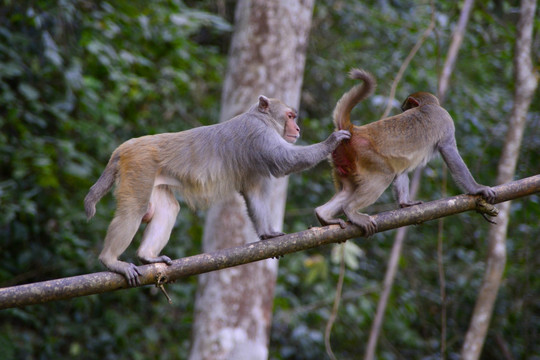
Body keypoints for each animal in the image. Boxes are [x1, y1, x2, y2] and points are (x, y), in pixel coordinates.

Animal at [85, 95, 350, 286]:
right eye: (290, 116)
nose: (297, 129)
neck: (261, 118)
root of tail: (124, 147)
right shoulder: (260, 135)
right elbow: (285, 161)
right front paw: (331, 141)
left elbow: (254, 194)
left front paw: (268, 235)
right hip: (140, 166)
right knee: (134, 210)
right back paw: (111, 260)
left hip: (153, 176)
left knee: (168, 207)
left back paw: (148, 255)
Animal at [314, 69, 496, 236]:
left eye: (404, 108)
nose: (402, 111)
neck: (428, 106)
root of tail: (355, 131)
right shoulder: (445, 119)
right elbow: (449, 150)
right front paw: (477, 189)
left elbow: (401, 171)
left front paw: (405, 203)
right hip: (366, 155)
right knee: (385, 175)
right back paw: (351, 210)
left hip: (343, 160)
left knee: (349, 188)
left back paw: (323, 215)